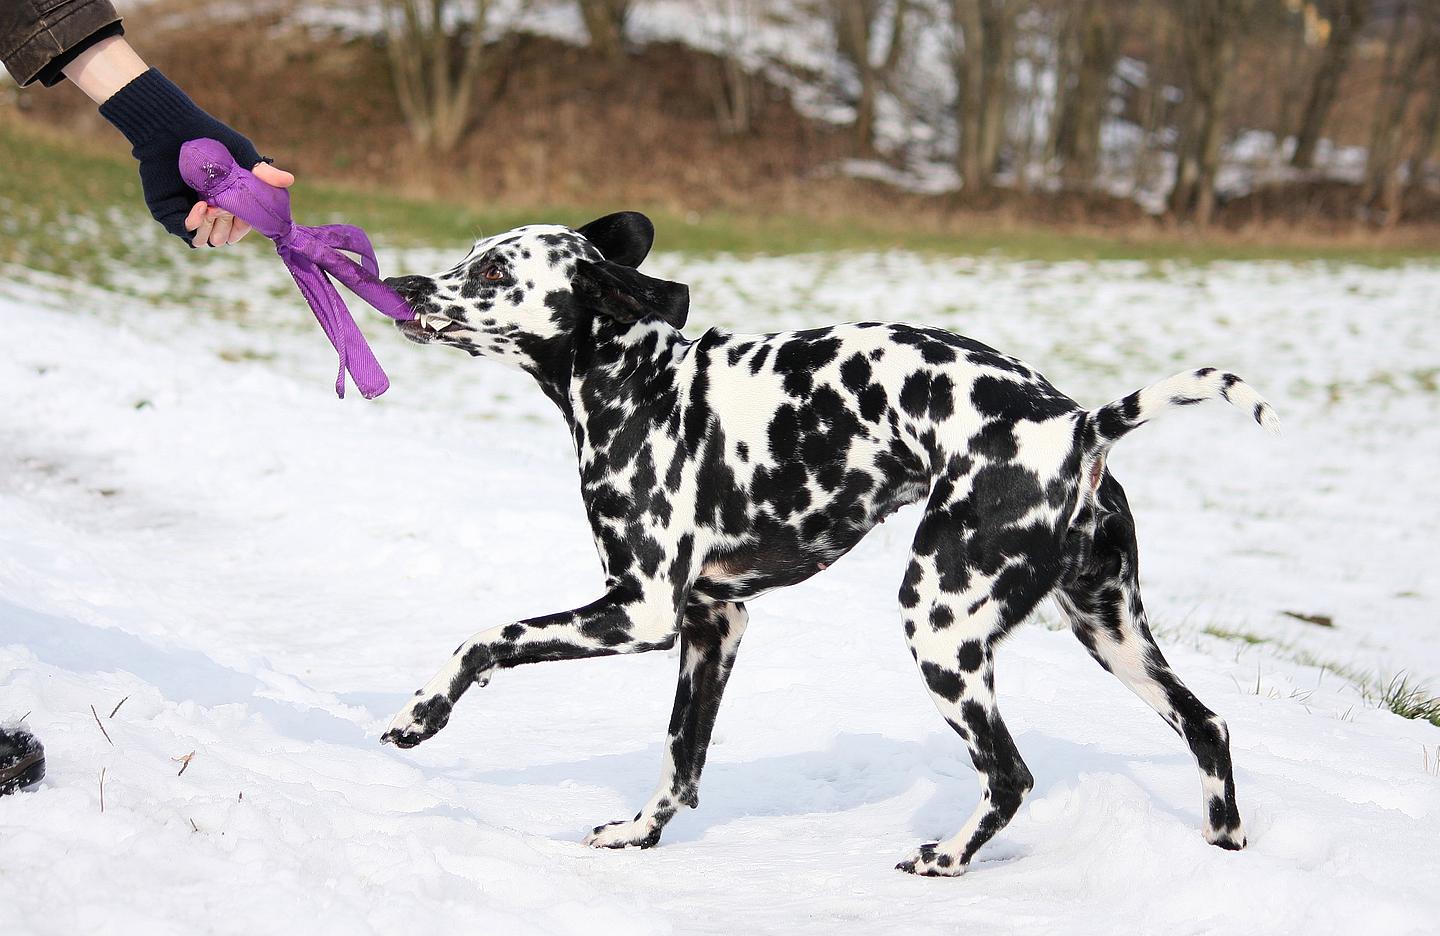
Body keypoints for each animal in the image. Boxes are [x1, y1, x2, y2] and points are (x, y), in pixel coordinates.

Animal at [377, 213, 1278, 875]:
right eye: (469, 256)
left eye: (496, 273)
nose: (400, 285)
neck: (641, 387)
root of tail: (1076, 425)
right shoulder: (713, 626)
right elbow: (680, 758)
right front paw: (640, 835)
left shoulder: (640, 613)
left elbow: (487, 635)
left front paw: (421, 714)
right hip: (1112, 633)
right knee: (1208, 727)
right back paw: (1225, 844)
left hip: (940, 627)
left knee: (1011, 775)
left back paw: (947, 858)